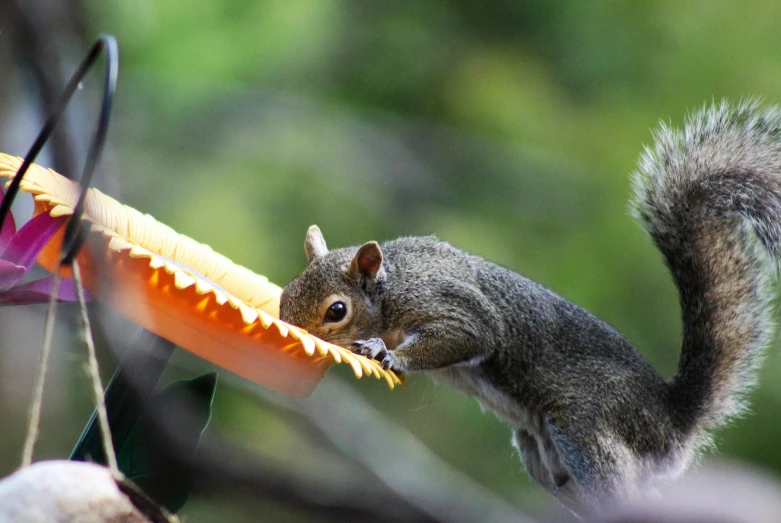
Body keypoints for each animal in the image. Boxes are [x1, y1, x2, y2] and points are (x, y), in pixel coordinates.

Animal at [278, 102, 780, 516]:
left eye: (337, 310)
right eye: (284, 296)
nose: (289, 329)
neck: (390, 285)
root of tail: (672, 420)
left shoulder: (449, 304)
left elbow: (467, 333)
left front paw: (387, 353)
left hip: (587, 428)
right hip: (544, 456)